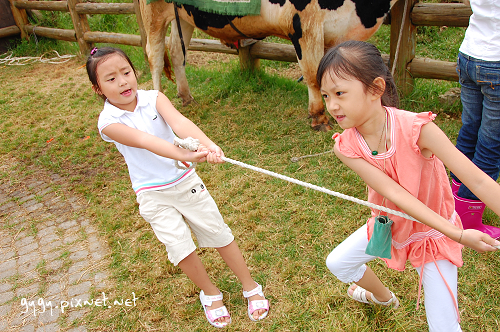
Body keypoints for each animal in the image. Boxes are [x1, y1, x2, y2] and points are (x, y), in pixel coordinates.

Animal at [139, 0, 396, 131]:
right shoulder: (304, 23)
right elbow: (313, 74)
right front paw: (318, 118)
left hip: (183, 14)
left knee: (176, 51)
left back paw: (186, 96)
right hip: (153, 12)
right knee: (155, 55)